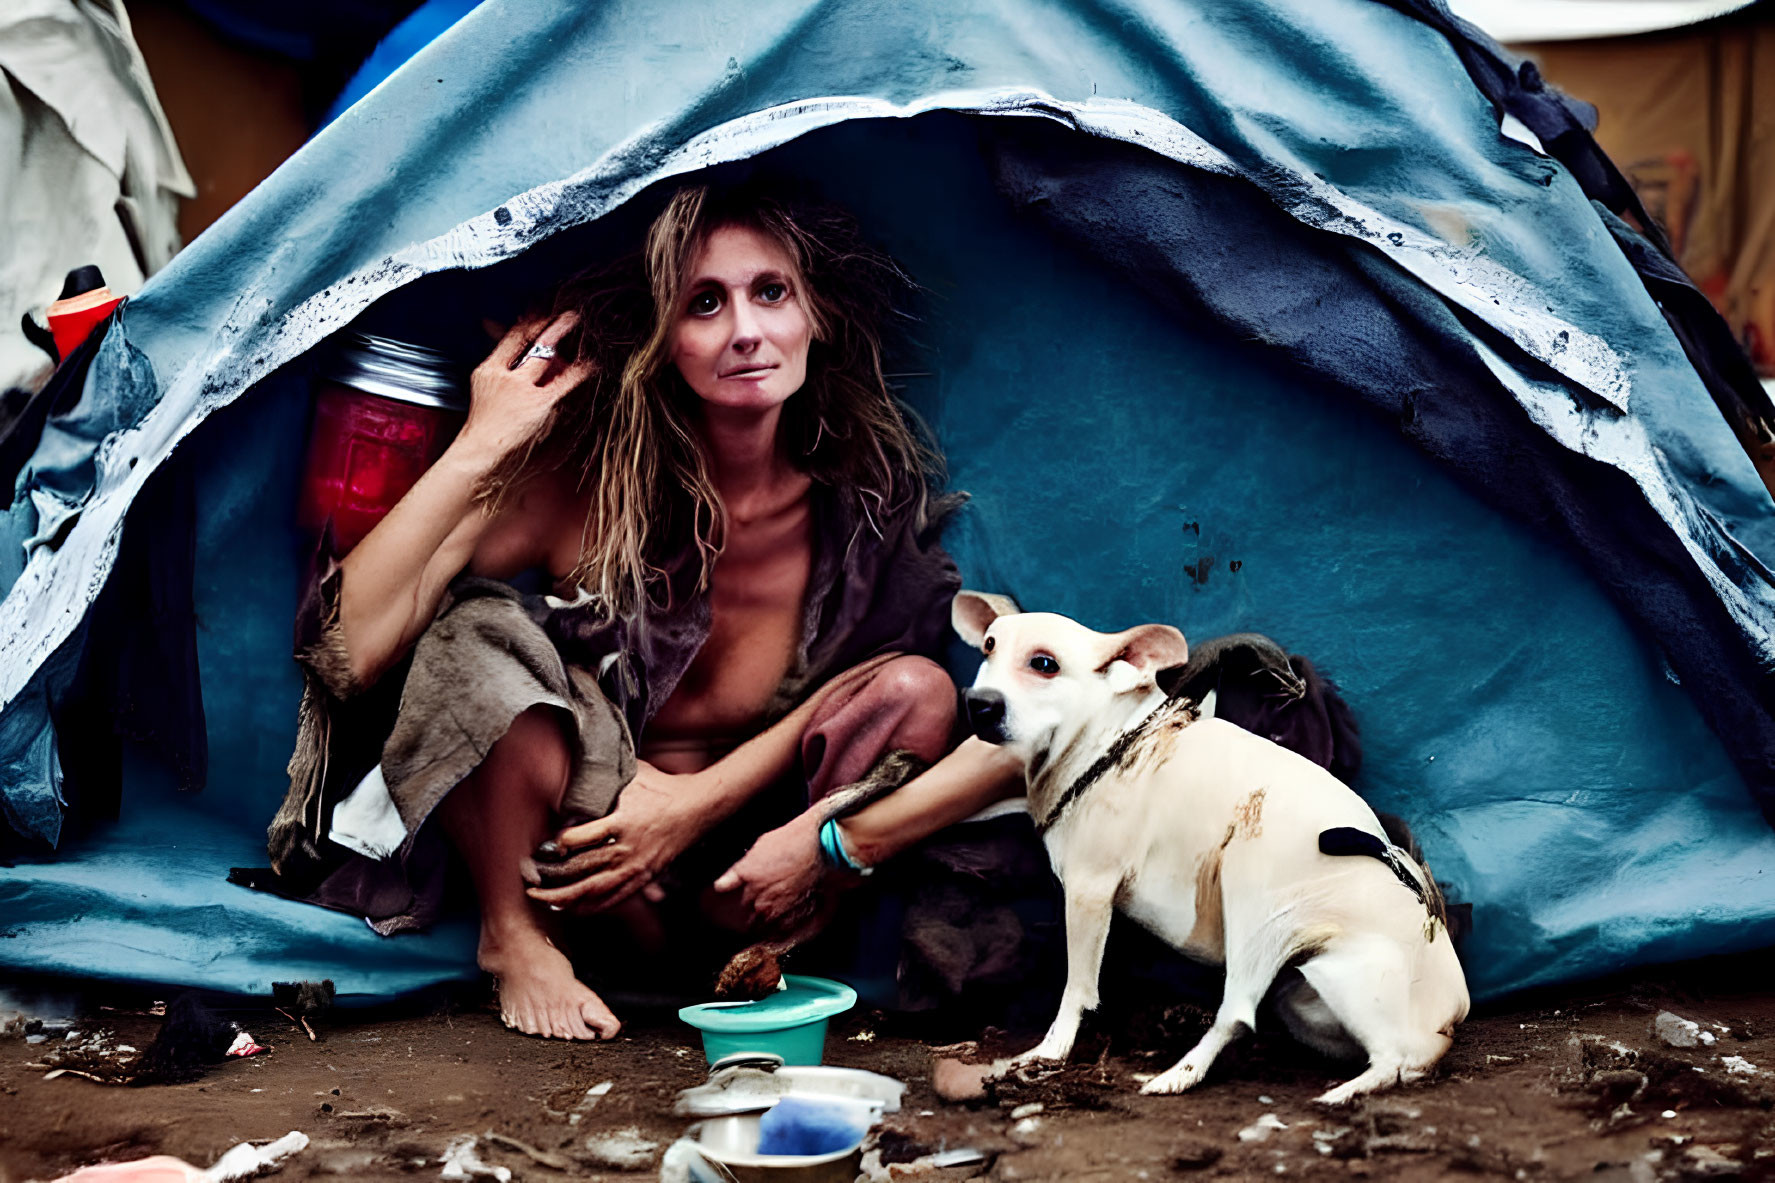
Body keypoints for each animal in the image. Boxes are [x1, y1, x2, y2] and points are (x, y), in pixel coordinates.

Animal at [958, 593, 1469, 1101]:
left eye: (1044, 663)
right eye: (988, 647)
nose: (978, 704)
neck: (1111, 740)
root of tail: (1450, 1019)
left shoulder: (1089, 891)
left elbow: (1077, 988)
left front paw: (1050, 1051)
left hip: (1259, 900)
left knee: (1249, 1018)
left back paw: (1200, 1079)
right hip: (1305, 997)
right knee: (1384, 1058)